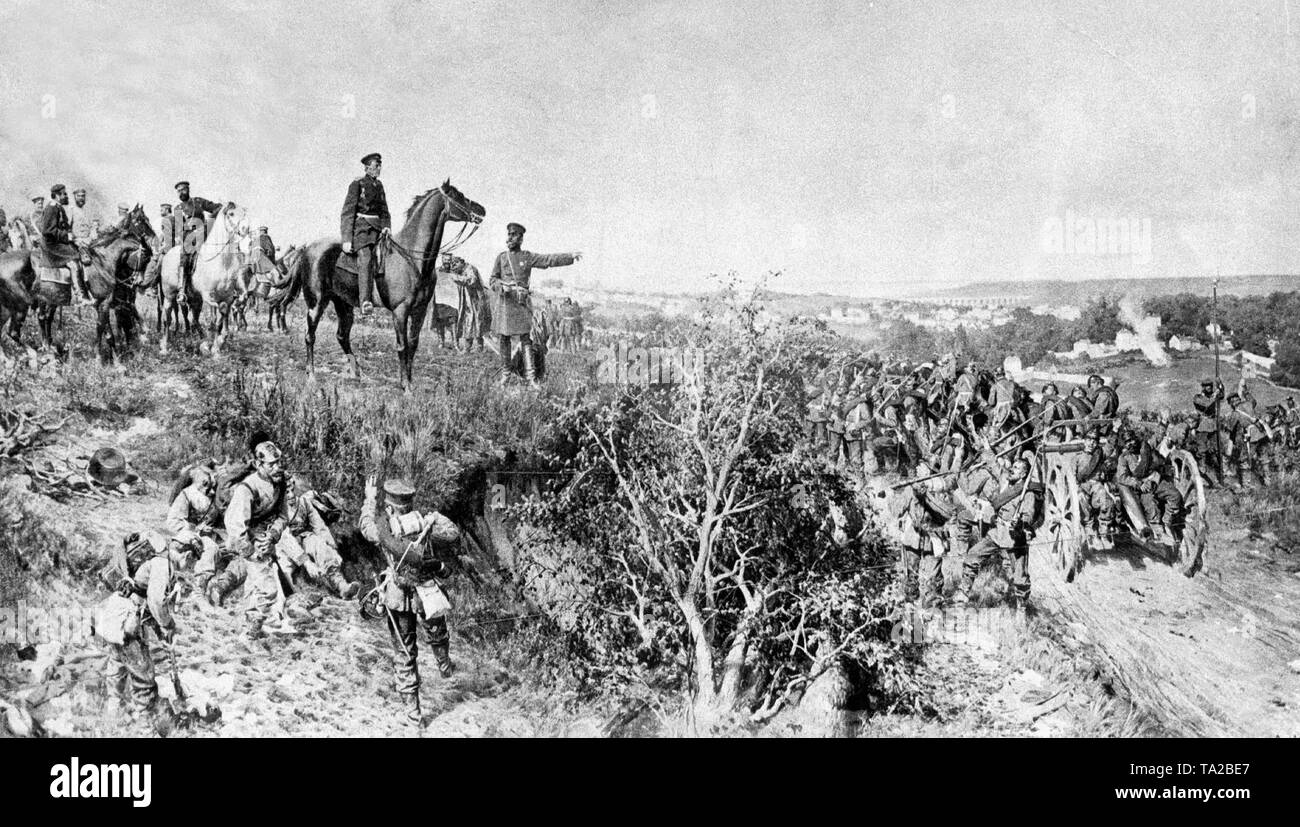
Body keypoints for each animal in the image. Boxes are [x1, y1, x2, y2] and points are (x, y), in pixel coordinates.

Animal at [0, 204, 154, 361]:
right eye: (142, 220)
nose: (138, 281)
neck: (103, 260)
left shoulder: (106, 304)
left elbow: (108, 331)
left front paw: (113, 358)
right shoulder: (105, 303)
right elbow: (105, 330)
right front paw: (104, 359)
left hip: (12, 306)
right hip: (22, 305)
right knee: (16, 331)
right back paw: (41, 352)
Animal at [297, 180, 486, 390]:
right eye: (458, 196)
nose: (482, 210)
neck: (413, 257)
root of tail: (308, 247)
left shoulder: (419, 310)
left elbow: (413, 344)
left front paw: (409, 381)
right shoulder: (400, 311)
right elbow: (402, 345)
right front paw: (406, 387)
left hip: (343, 303)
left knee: (342, 336)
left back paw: (357, 373)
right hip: (316, 303)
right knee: (310, 336)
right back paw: (312, 376)